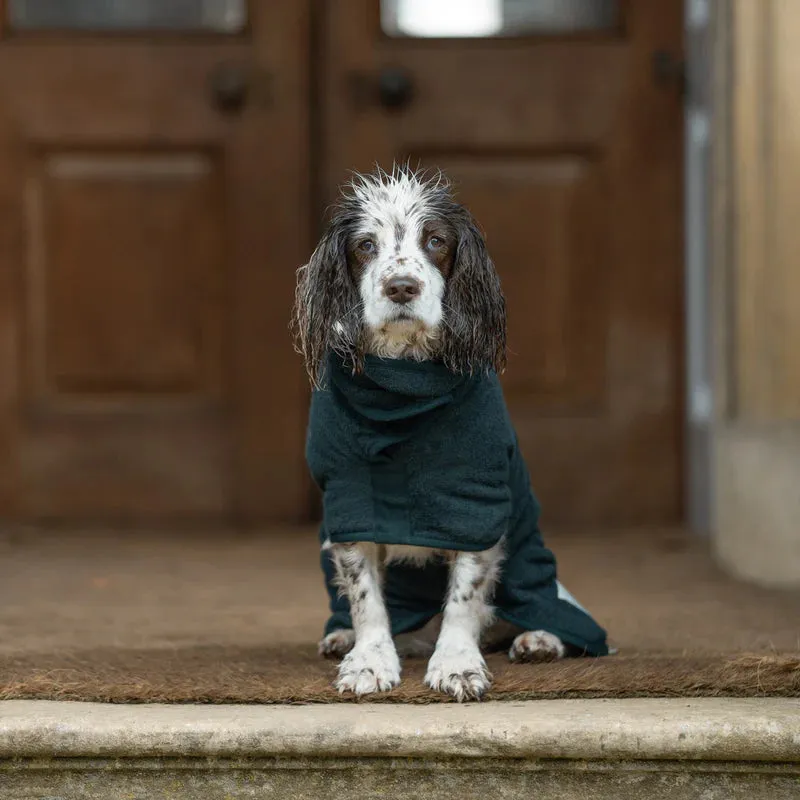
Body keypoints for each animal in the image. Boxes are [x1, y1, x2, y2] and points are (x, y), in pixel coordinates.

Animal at [292, 166, 608, 696]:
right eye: (365, 245)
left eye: (436, 240)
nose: (401, 287)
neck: (404, 385)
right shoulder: (350, 499)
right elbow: (364, 594)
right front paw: (369, 660)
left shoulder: (474, 498)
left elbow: (466, 593)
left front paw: (457, 663)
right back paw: (342, 635)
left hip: (532, 562)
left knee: (550, 608)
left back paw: (539, 639)